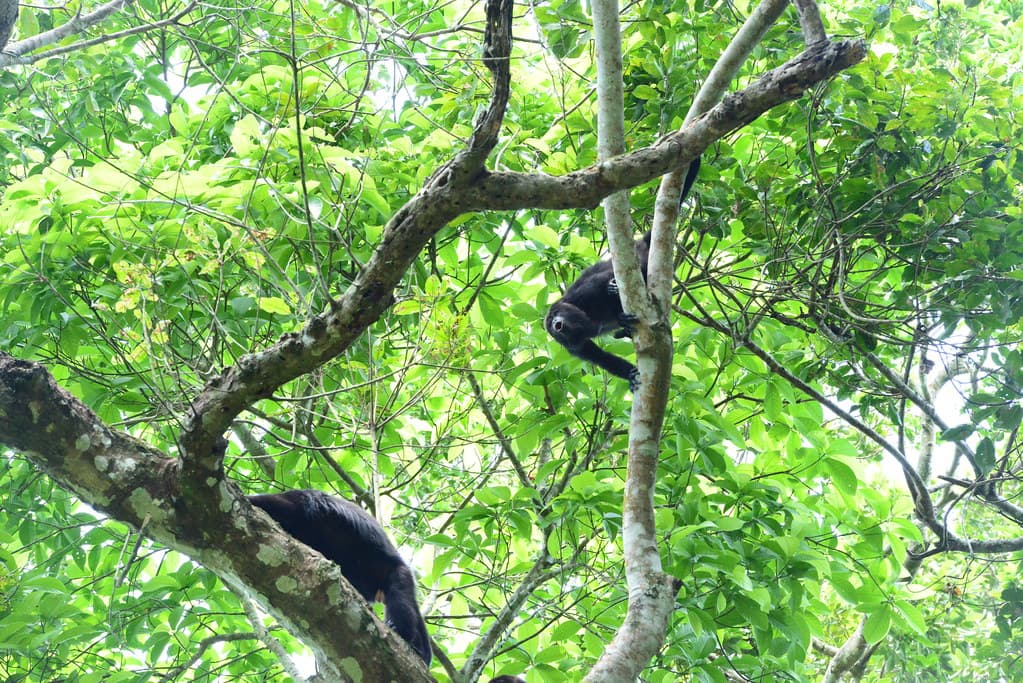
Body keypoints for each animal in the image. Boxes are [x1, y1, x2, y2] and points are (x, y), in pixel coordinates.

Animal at [544, 159, 700, 390]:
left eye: (555, 315)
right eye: (551, 327)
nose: (556, 324)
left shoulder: (579, 296)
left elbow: (600, 279)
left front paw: (612, 287)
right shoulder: (573, 346)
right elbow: (600, 357)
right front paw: (630, 373)